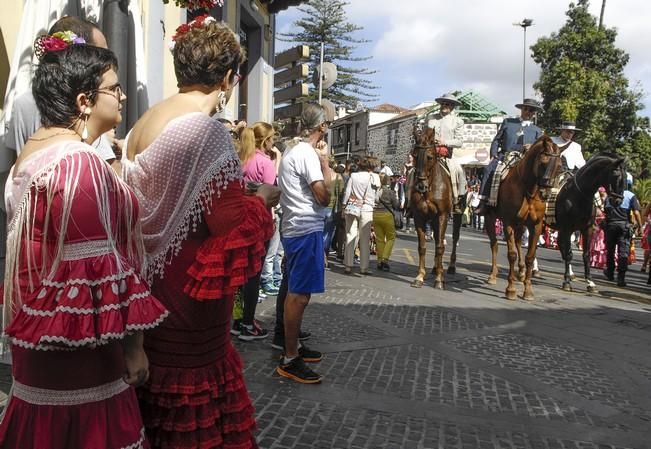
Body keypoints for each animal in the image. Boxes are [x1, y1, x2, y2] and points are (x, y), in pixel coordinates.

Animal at [410, 127, 460, 288]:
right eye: (414, 155)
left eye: (430, 157)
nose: (420, 186)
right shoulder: (419, 216)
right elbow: (422, 247)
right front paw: (420, 276)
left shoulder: (442, 215)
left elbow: (439, 247)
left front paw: (438, 279)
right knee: (438, 237)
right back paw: (436, 268)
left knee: (453, 239)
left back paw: (449, 268)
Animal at [486, 135, 564, 300]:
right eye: (543, 162)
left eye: (559, 166)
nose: (545, 194)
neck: (529, 190)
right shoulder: (508, 222)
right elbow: (512, 254)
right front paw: (510, 289)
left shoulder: (536, 225)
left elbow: (530, 256)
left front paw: (528, 289)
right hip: (490, 219)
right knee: (494, 245)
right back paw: (493, 275)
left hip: (521, 224)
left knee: (518, 241)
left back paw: (521, 273)